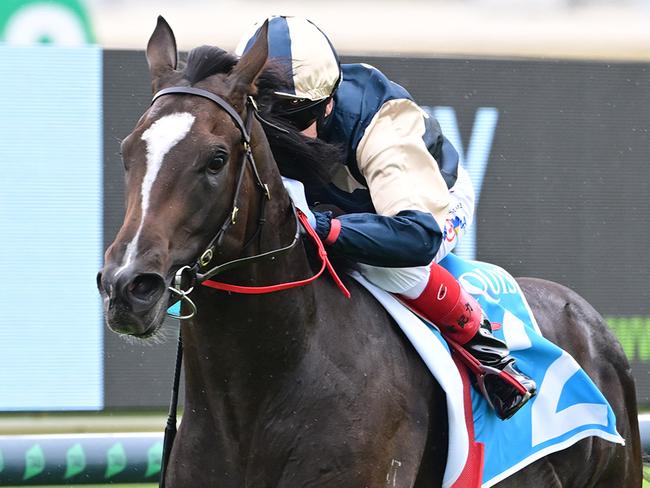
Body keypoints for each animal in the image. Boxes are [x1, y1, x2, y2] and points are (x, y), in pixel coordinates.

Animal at [96, 16, 636, 488]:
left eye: (217, 159)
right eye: (127, 151)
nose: (127, 287)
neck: (255, 400)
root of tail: (588, 318)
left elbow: (415, 230)